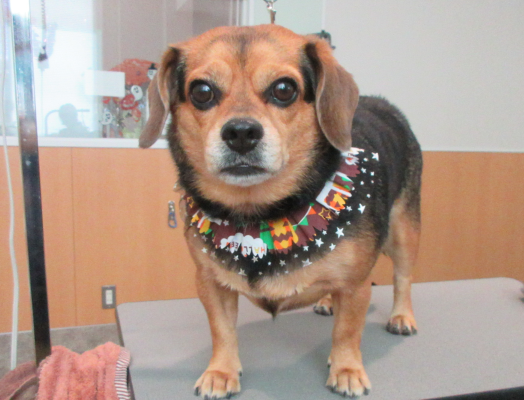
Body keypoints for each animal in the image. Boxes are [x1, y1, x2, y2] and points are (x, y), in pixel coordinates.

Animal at [139, 24, 422, 398]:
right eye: (201, 92)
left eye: (284, 89)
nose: (241, 132)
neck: (258, 214)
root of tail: (382, 103)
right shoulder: (210, 283)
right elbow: (222, 331)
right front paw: (221, 371)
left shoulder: (355, 285)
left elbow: (347, 331)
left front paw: (347, 369)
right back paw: (326, 301)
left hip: (403, 231)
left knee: (403, 277)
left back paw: (402, 317)